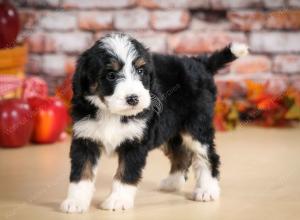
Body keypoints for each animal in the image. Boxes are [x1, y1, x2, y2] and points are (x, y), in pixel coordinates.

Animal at [61, 33, 248, 213]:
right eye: (111, 75)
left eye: (140, 71)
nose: (133, 99)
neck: (112, 113)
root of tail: (200, 63)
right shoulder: (85, 138)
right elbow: (81, 174)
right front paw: (75, 202)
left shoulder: (135, 142)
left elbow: (125, 173)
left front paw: (118, 200)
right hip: (170, 129)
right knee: (181, 154)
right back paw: (173, 182)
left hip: (196, 126)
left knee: (208, 156)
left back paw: (207, 190)